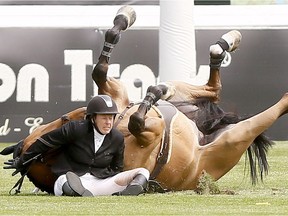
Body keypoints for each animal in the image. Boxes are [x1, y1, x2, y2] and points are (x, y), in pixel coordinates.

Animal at [1, 5, 286, 194]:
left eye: (61, 119)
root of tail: (204, 133)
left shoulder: (118, 96)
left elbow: (100, 70)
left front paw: (125, 17)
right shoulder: (148, 129)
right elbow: (137, 118)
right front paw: (152, 94)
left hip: (192, 103)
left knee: (211, 87)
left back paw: (225, 44)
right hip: (231, 141)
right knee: (232, 99)